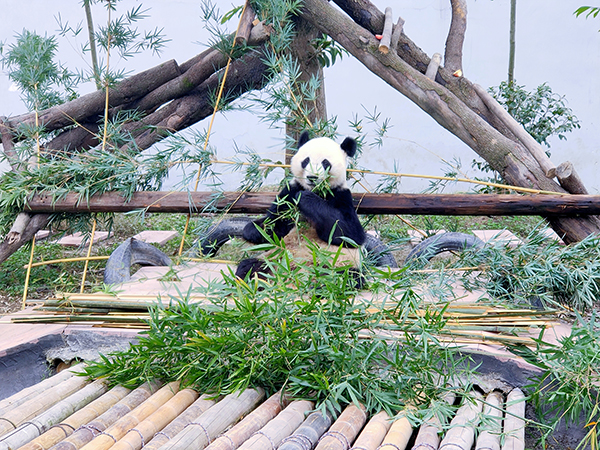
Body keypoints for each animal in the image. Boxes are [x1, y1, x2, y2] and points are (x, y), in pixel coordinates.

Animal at [236, 131, 366, 284]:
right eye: (306, 161)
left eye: (325, 163)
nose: (312, 177)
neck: (317, 190)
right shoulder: (289, 192)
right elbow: (275, 225)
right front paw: (254, 229)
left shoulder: (341, 195)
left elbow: (350, 234)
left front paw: (305, 198)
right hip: (273, 260)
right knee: (252, 269)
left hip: (338, 266)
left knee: (341, 278)